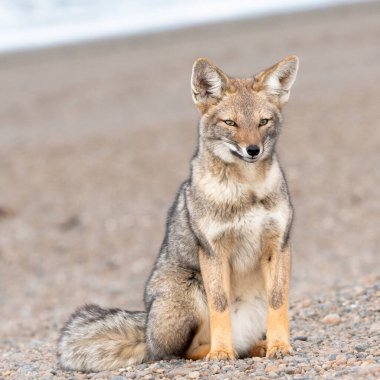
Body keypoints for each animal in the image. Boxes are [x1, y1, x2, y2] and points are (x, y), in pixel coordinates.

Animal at [58, 55, 298, 372]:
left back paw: (258, 345)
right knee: (178, 352)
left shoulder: (278, 246)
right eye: (230, 122)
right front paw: (222, 352)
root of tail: (147, 330)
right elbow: (220, 307)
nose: (253, 150)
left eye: (263, 122)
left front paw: (279, 346)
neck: (247, 190)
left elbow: (278, 302)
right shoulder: (213, 251)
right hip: (191, 290)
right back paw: (221, 350)